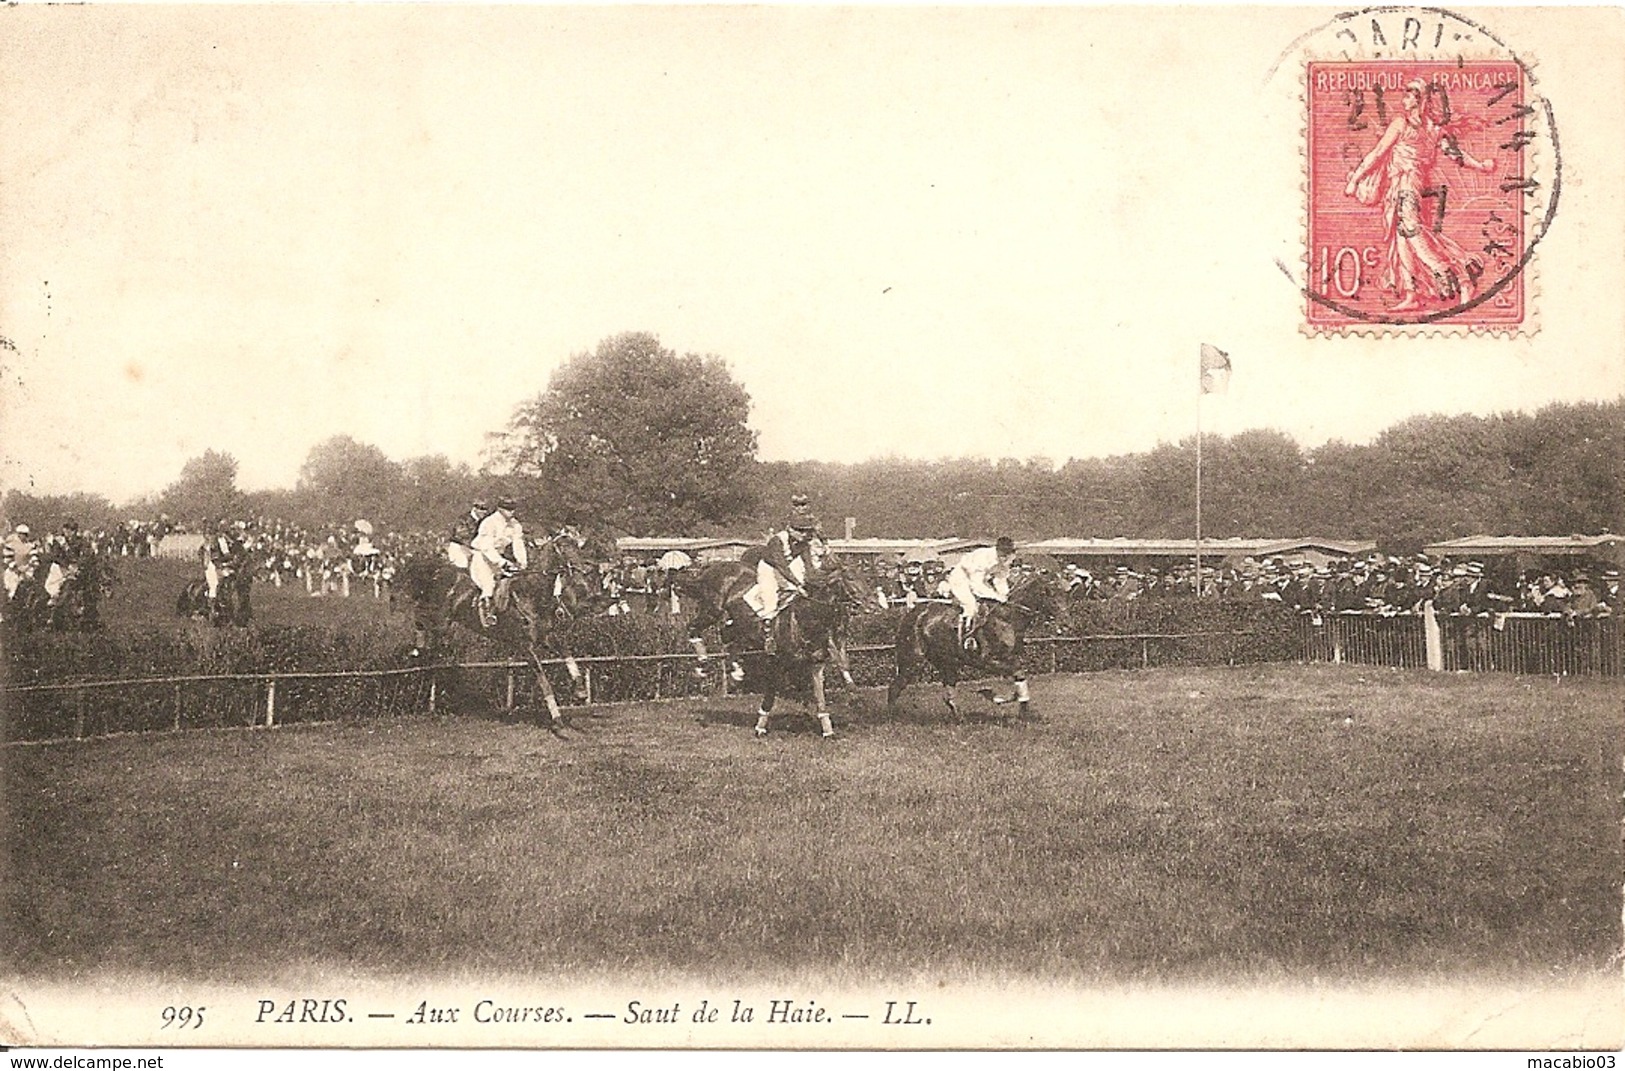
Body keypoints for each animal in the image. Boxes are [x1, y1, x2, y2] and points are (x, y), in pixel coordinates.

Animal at [890, 568, 1066, 721]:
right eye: (1050, 592)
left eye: (1065, 591)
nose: (1065, 621)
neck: (1007, 618)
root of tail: (912, 614)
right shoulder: (987, 661)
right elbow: (1018, 673)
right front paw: (995, 696)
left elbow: (1019, 677)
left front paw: (1022, 711)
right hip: (912, 660)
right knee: (895, 687)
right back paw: (891, 716)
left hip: (946, 662)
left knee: (948, 695)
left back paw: (960, 718)